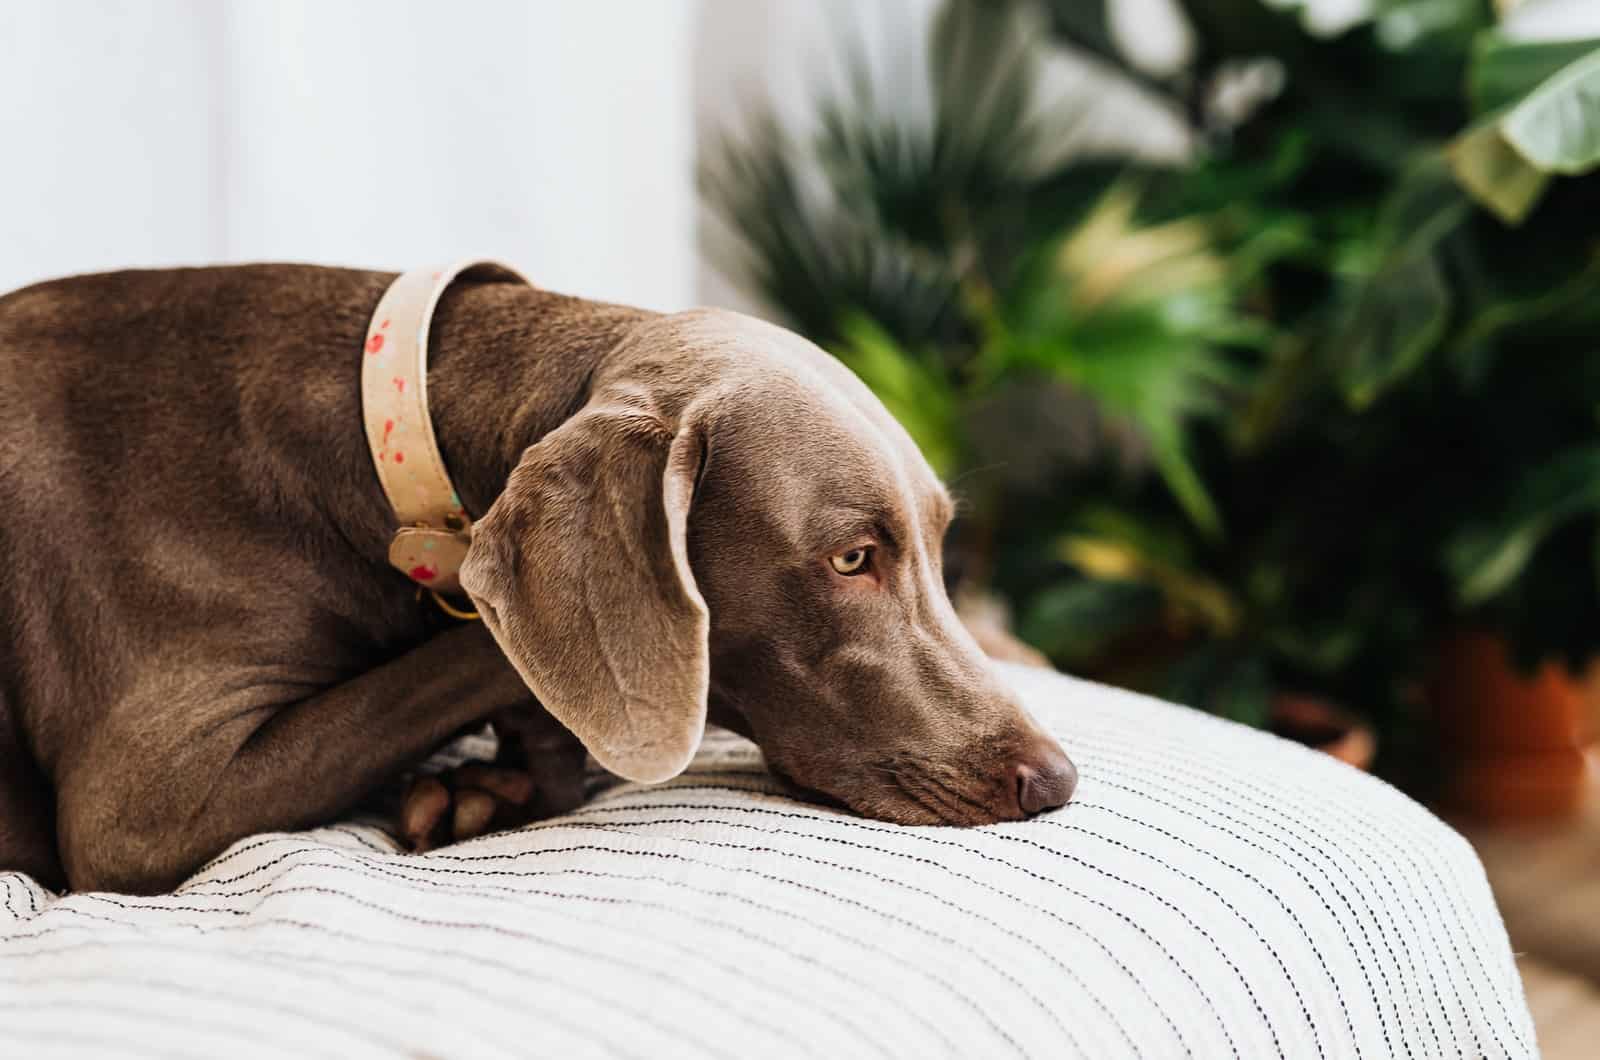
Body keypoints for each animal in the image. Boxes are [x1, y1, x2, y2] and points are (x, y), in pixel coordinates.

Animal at [3, 265, 1075, 896]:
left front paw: (487, 788)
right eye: (852, 558)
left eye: (939, 542)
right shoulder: (141, 804)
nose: (1056, 780)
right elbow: (482, 649)